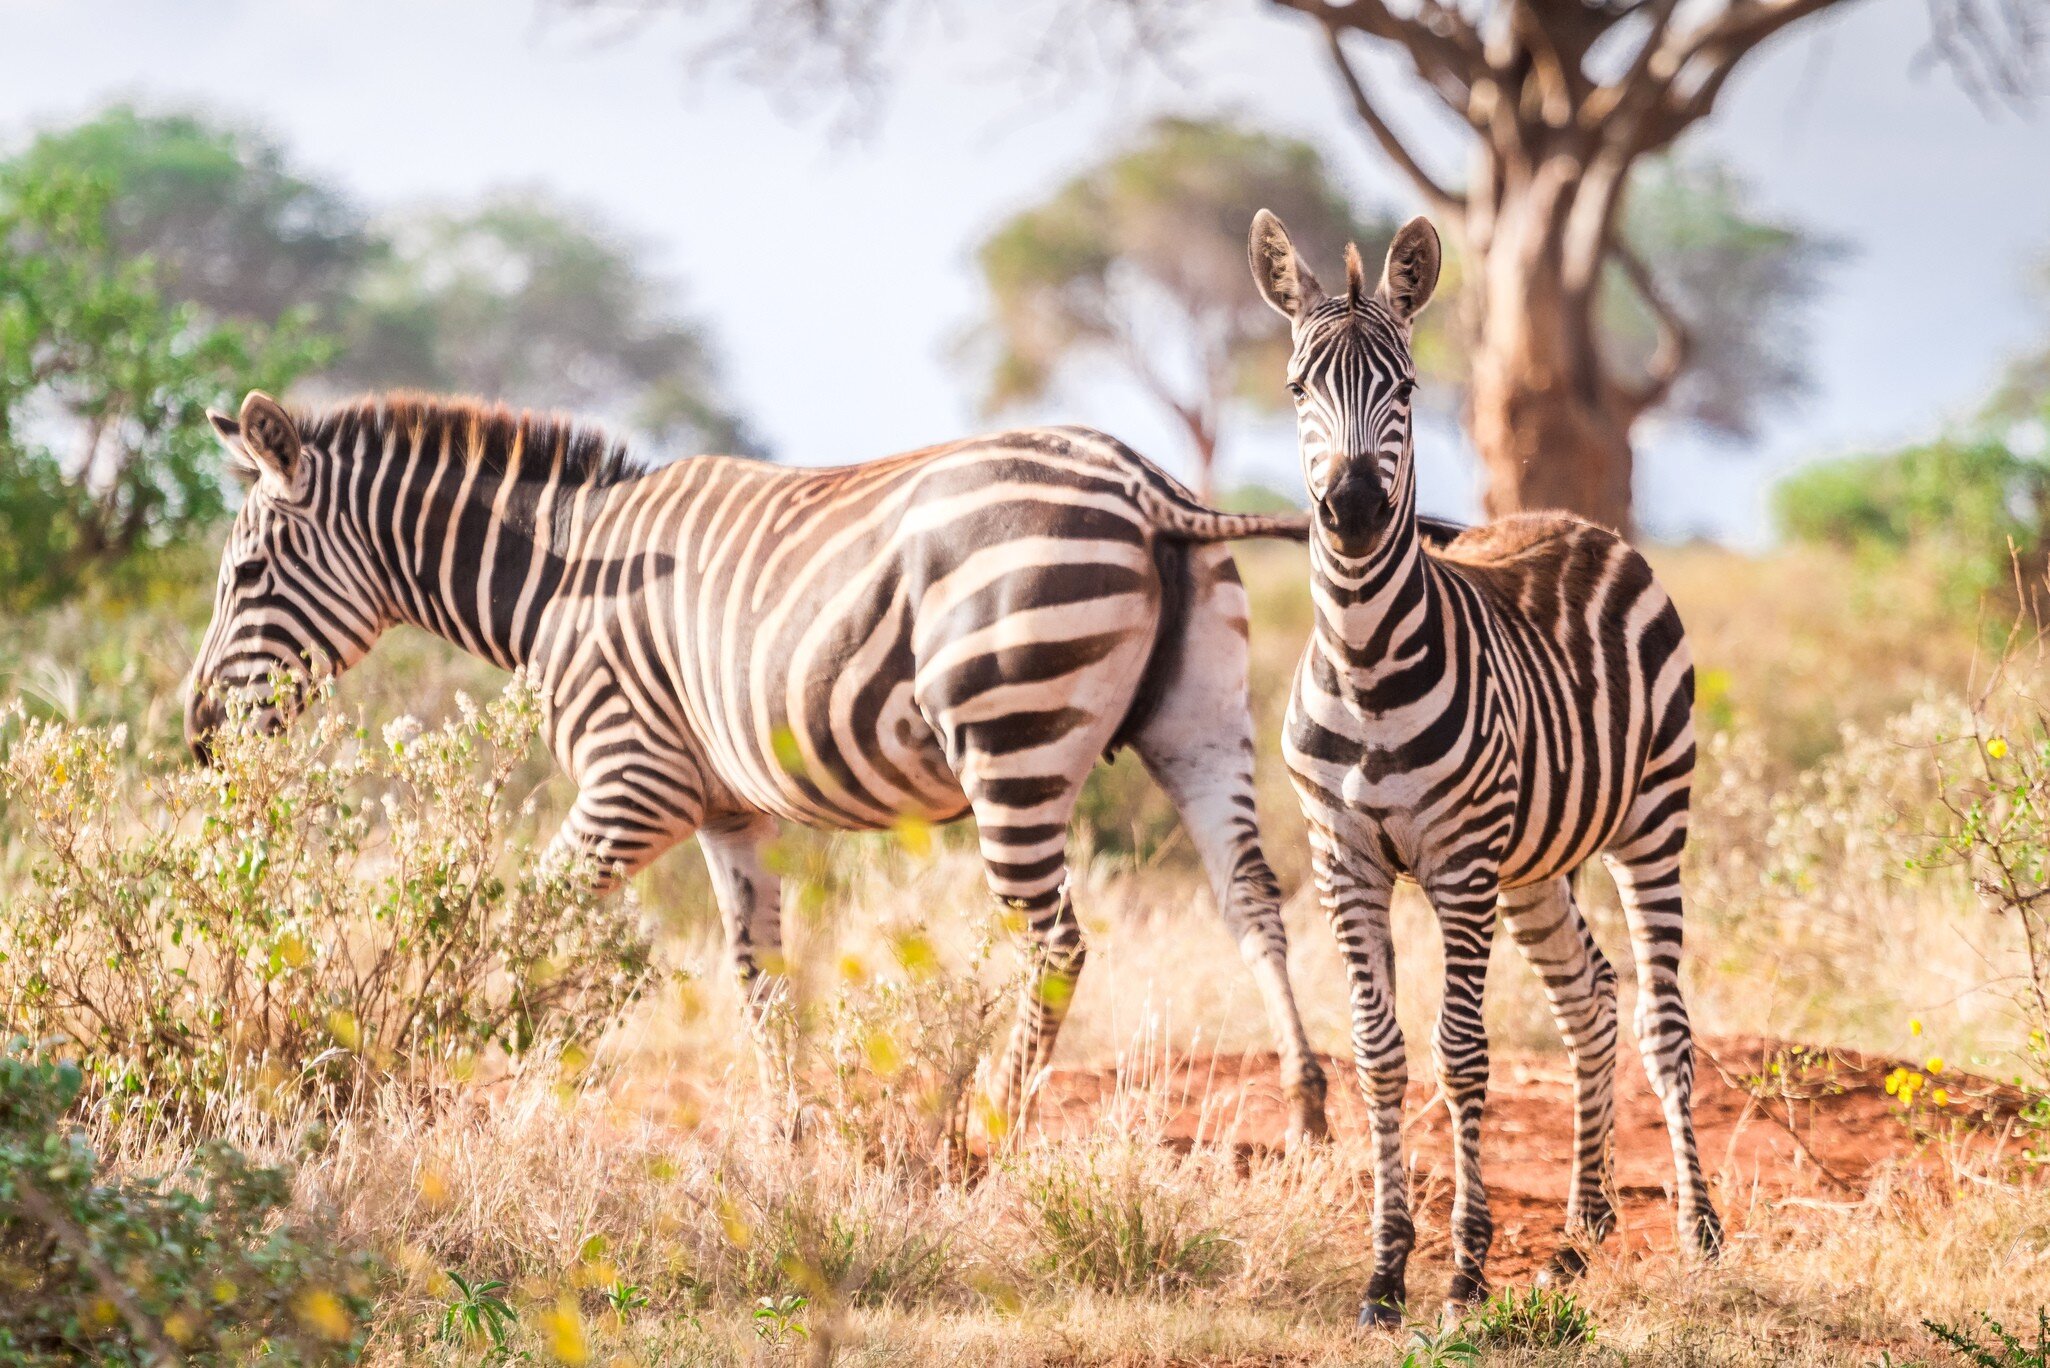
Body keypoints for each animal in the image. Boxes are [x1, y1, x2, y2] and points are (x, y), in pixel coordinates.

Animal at [184, 389, 1332, 1144]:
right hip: (1201, 722)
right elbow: (758, 974)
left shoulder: (632, 780)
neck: (560, 581)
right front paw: (791, 1129)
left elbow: (521, 926)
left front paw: (481, 1076)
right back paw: (1308, 1103)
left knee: (1055, 943)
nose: (198, 737)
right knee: (1250, 899)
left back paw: (986, 1130)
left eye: (248, 573)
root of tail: (1142, 482)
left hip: (1010, 735)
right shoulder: (726, 809)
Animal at [1246, 211, 1720, 1323]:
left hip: (1651, 821)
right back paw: (1584, 1224)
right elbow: (1378, 1055)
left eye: (1408, 389)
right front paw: (1384, 1272)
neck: (1367, 668)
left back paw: (1698, 1231)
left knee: (1661, 1023)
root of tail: (1578, 522)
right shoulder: (1344, 864)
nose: (1353, 507)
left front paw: (1463, 1271)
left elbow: (1460, 1057)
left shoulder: (1459, 868)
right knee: (1589, 998)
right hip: (1536, 864)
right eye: (1295, 386)